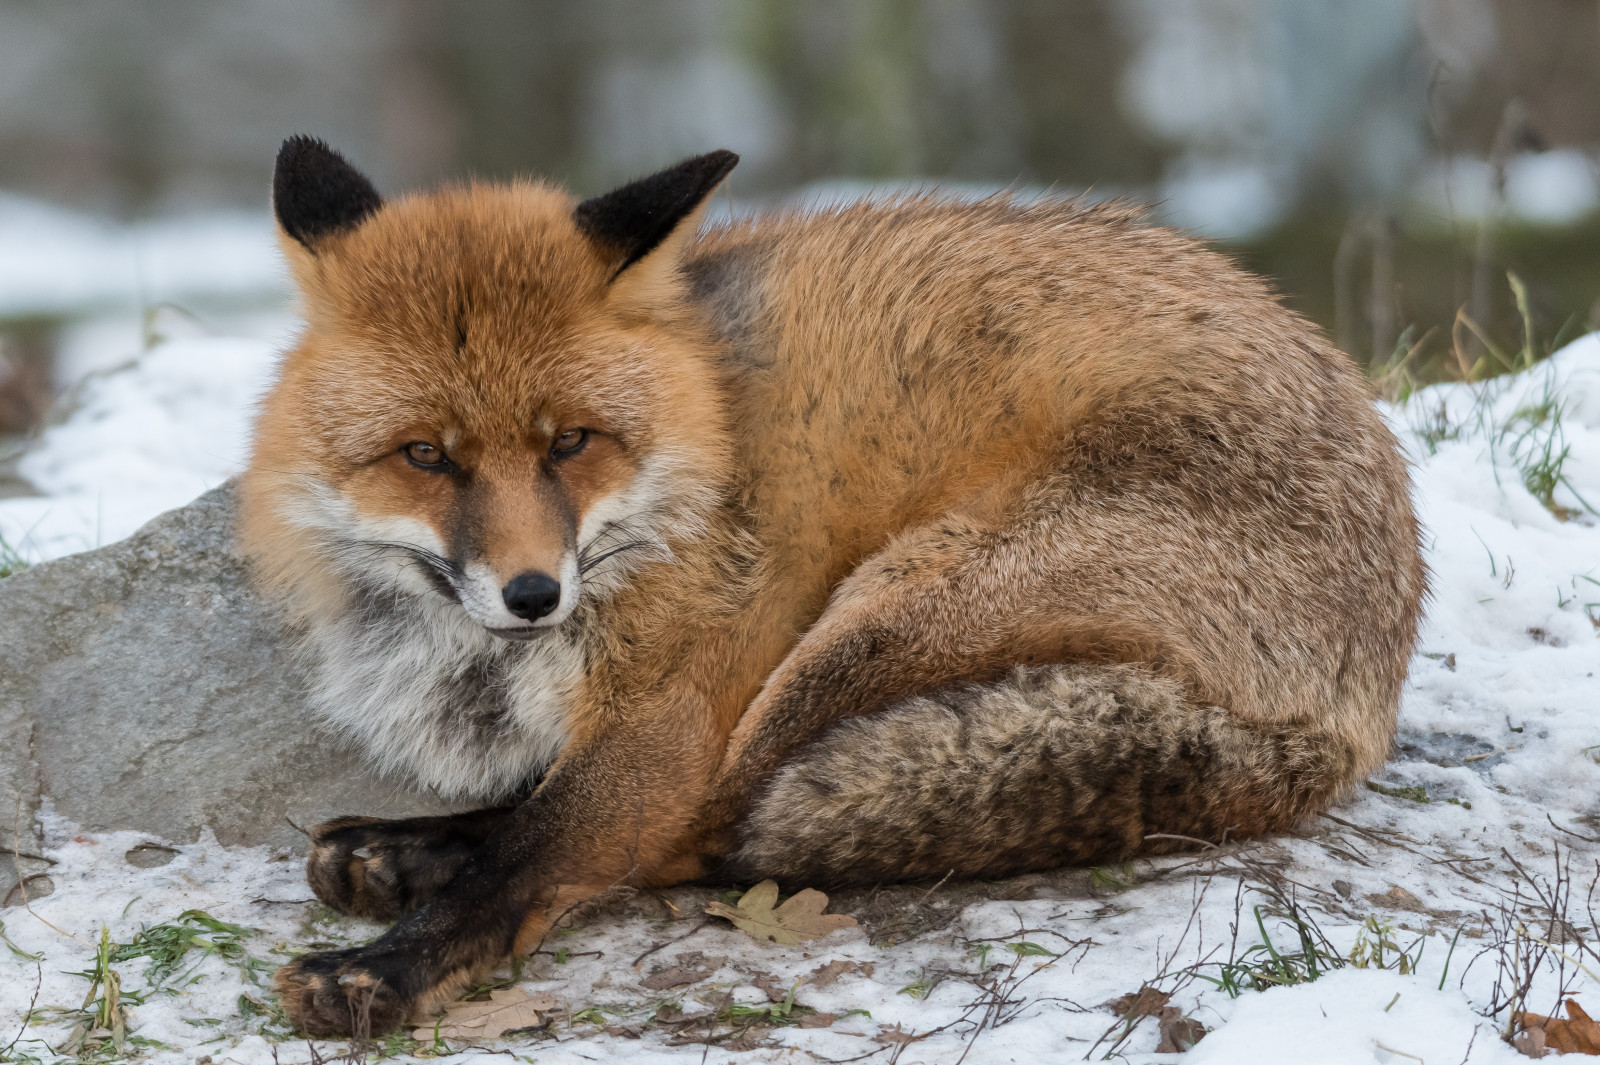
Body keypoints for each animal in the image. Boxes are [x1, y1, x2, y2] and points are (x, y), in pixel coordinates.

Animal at [239, 135, 1426, 1037]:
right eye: (425, 457)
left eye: (570, 441)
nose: (534, 594)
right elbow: (545, 806)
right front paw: (409, 862)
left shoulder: (681, 699)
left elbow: (549, 841)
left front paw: (389, 967)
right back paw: (392, 848)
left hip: (880, 613)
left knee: (710, 828)